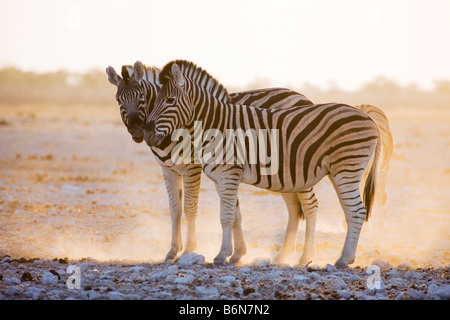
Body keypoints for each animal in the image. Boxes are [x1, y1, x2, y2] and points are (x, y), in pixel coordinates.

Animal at [146, 59, 382, 268]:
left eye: (169, 100)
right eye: (154, 100)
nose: (148, 135)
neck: (214, 124)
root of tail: (367, 116)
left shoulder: (229, 173)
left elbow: (226, 216)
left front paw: (221, 255)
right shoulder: (221, 178)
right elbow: (235, 216)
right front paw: (234, 255)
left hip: (346, 168)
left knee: (355, 212)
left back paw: (341, 260)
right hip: (338, 171)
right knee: (346, 211)